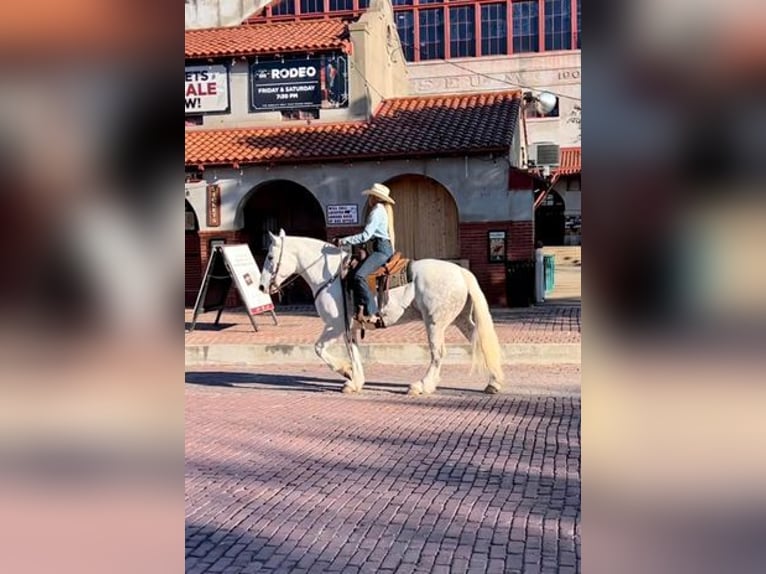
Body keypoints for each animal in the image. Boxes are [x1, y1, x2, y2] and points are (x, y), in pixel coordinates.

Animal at [260, 230, 508, 396]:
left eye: (270, 257)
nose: (262, 287)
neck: (330, 276)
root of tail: (460, 272)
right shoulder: (350, 328)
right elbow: (354, 352)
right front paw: (355, 381)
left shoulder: (335, 325)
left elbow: (319, 348)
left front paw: (346, 372)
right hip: (460, 320)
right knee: (480, 341)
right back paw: (494, 382)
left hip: (435, 323)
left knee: (438, 353)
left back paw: (421, 386)